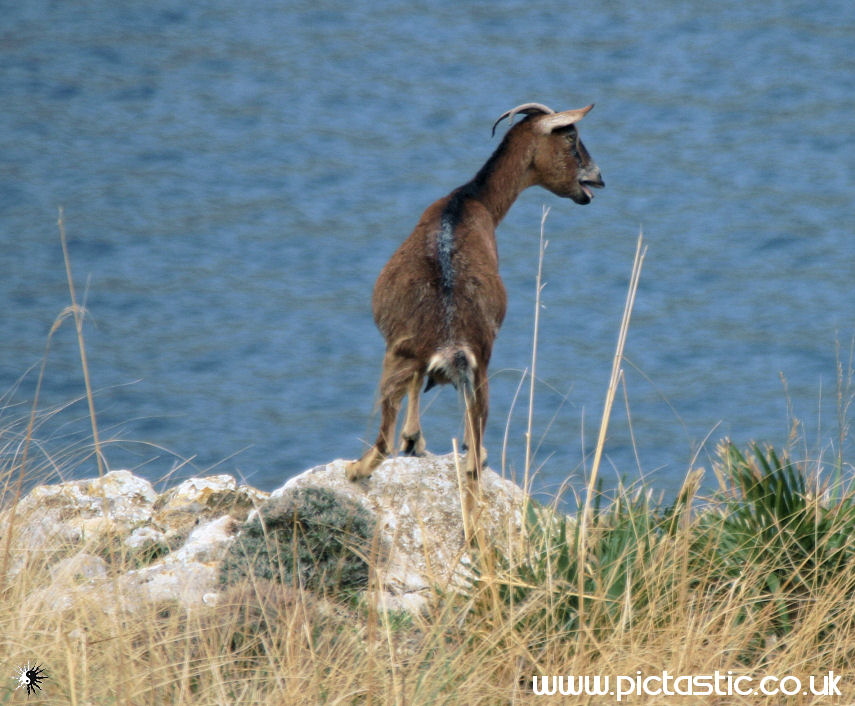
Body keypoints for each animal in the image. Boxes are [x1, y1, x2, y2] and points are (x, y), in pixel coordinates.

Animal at [344, 102, 604, 528]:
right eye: (571, 138)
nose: (597, 179)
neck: (468, 201)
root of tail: (453, 344)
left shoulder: (402, 348)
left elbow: (414, 389)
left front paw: (413, 440)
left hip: (396, 356)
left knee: (383, 439)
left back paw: (355, 469)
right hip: (479, 371)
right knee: (472, 463)